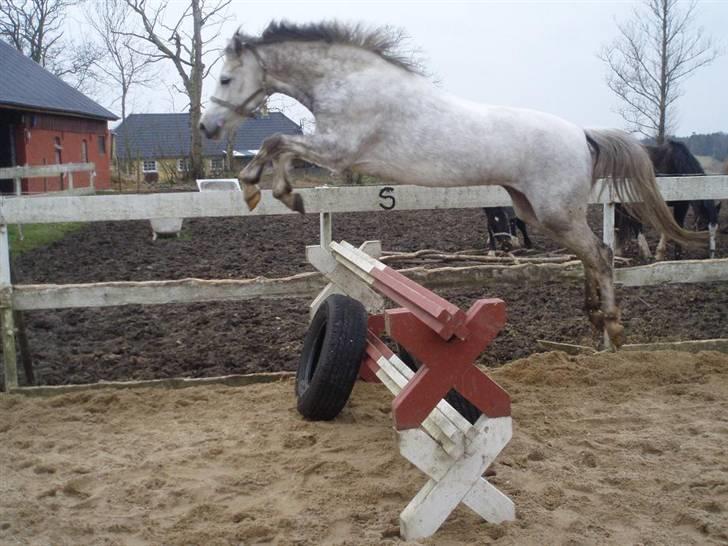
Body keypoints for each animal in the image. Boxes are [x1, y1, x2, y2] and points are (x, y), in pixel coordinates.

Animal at [199, 22, 704, 344]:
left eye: (225, 77)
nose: (206, 127)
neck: (351, 82)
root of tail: (582, 134)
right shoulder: (331, 150)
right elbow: (279, 146)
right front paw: (276, 192)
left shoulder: (337, 149)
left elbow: (274, 142)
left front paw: (262, 189)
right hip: (536, 211)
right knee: (591, 256)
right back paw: (595, 319)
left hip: (555, 211)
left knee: (600, 254)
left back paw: (612, 326)